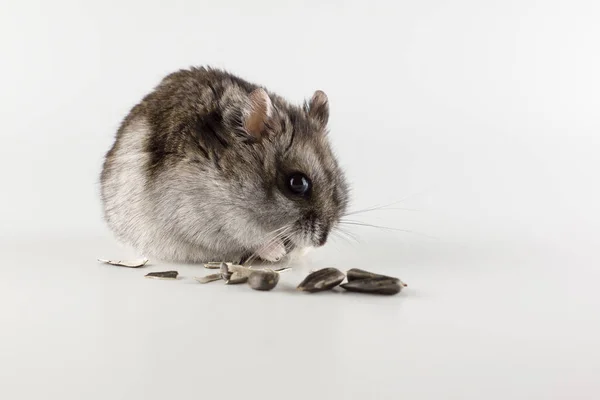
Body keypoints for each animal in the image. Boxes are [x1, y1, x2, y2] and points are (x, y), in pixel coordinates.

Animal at [101, 67, 350, 264]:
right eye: (297, 183)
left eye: (337, 179)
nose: (321, 241)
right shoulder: (206, 215)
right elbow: (251, 237)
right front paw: (277, 252)